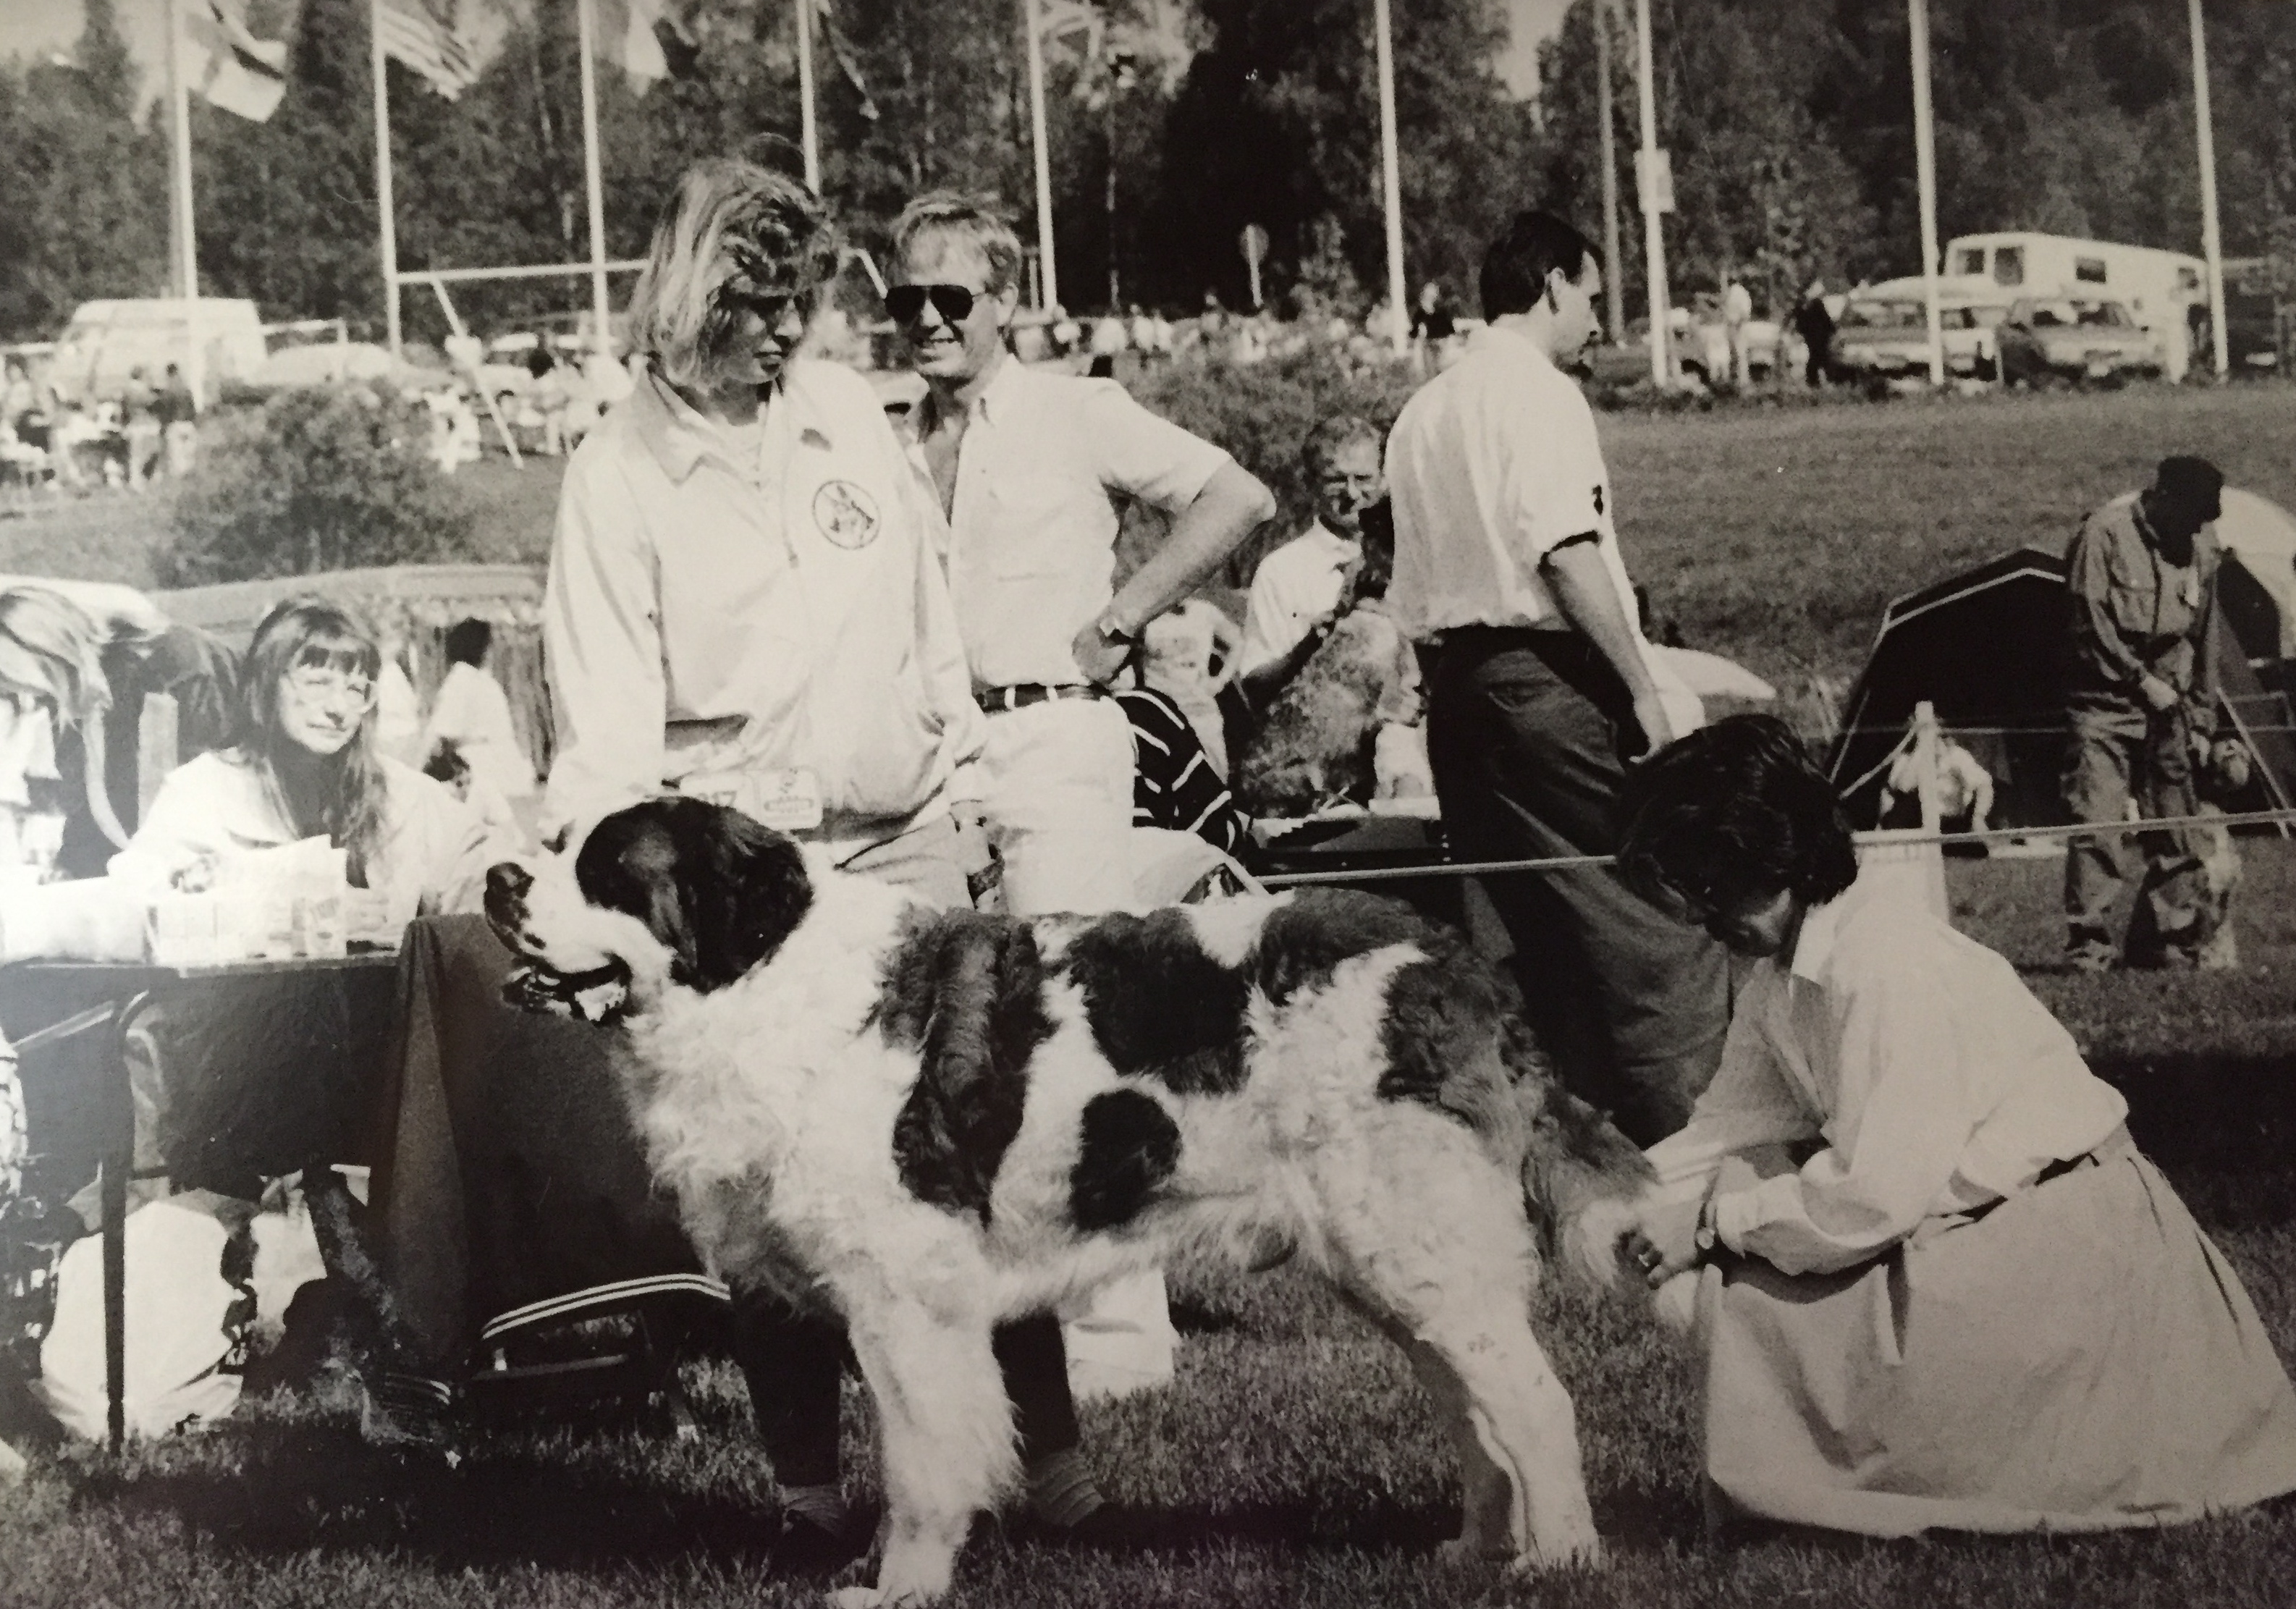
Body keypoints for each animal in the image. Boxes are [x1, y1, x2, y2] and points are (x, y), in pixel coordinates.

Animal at [486, 795, 1650, 1606]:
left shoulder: (905, 1299)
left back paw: (1559, 1558)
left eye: (603, 869)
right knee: (1468, 1403)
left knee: (1531, 1400)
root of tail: (1449, 956)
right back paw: (1473, 1547)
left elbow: (920, 1460)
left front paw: (900, 1586)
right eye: (552, 842)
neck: (761, 983)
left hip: (1414, 1236)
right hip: (1389, 1254)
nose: (498, 876)